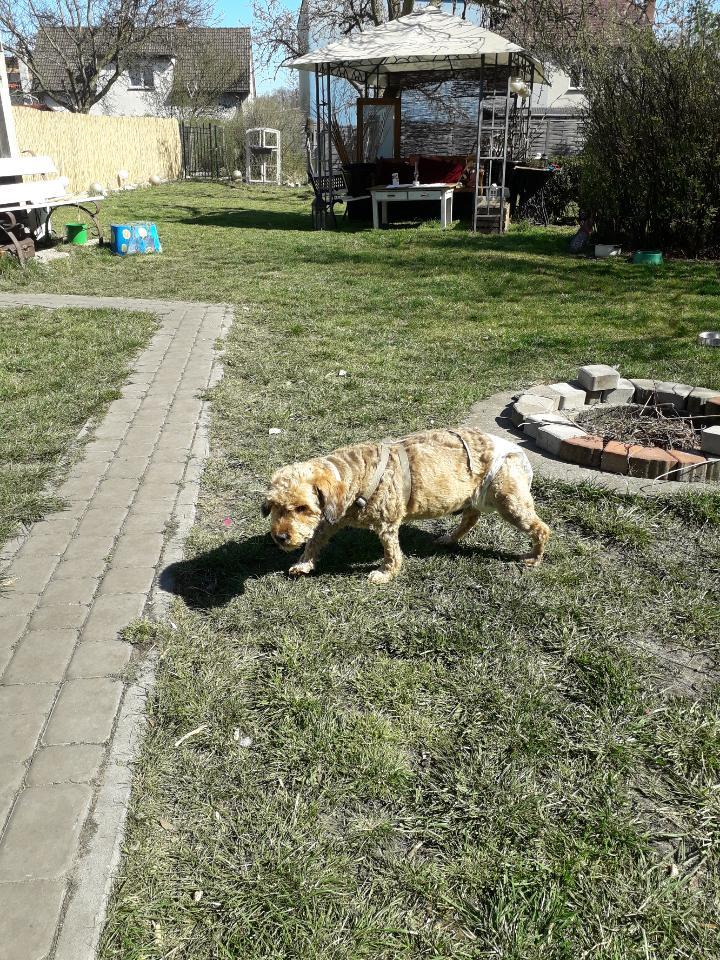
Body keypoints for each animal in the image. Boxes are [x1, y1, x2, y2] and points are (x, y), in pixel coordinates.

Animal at [262, 427, 550, 583]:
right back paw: (448, 538)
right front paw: (303, 564)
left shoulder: (386, 523)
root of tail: (518, 452)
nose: (281, 537)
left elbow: (391, 553)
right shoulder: (332, 518)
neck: (355, 473)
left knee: (541, 528)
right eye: (274, 506)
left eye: (302, 508)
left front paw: (385, 573)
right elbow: (314, 539)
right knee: (470, 518)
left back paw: (534, 557)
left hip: (509, 500)